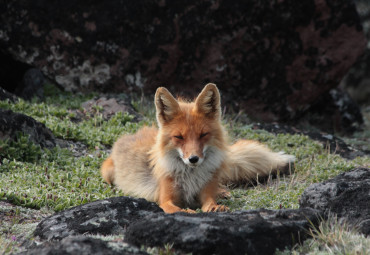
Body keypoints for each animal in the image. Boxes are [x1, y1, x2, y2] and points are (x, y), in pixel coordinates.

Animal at [101, 83, 294, 213]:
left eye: (203, 135)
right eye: (179, 137)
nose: (193, 159)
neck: (190, 178)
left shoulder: (205, 191)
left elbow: (209, 201)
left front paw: (215, 206)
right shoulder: (165, 199)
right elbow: (176, 209)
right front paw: (188, 212)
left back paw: (222, 192)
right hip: (108, 173)